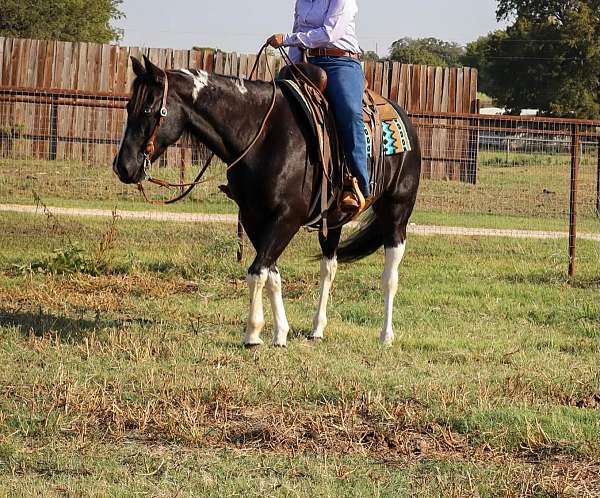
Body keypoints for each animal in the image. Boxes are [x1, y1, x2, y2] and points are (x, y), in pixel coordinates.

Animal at [113, 55, 422, 346]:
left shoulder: (286, 218)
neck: (262, 134)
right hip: (332, 220)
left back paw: (386, 335)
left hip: (397, 211)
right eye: (128, 108)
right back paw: (317, 329)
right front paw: (280, 333)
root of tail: (402, 117)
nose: (123, 167)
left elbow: (257, 271)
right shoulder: (253, 217)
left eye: (149, 109)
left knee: (390, 276)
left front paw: (253, 333)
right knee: (328, 268)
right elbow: (271, 273)